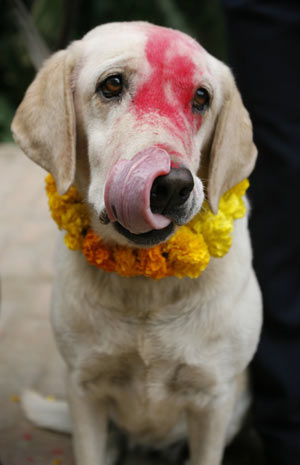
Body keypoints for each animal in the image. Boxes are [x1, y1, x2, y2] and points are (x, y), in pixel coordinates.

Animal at [10, 21, 262, 464]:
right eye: (111, 84)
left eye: (202, 97)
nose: (173, 185)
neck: (146, 286)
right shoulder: (85, 390)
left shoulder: (213, 400)